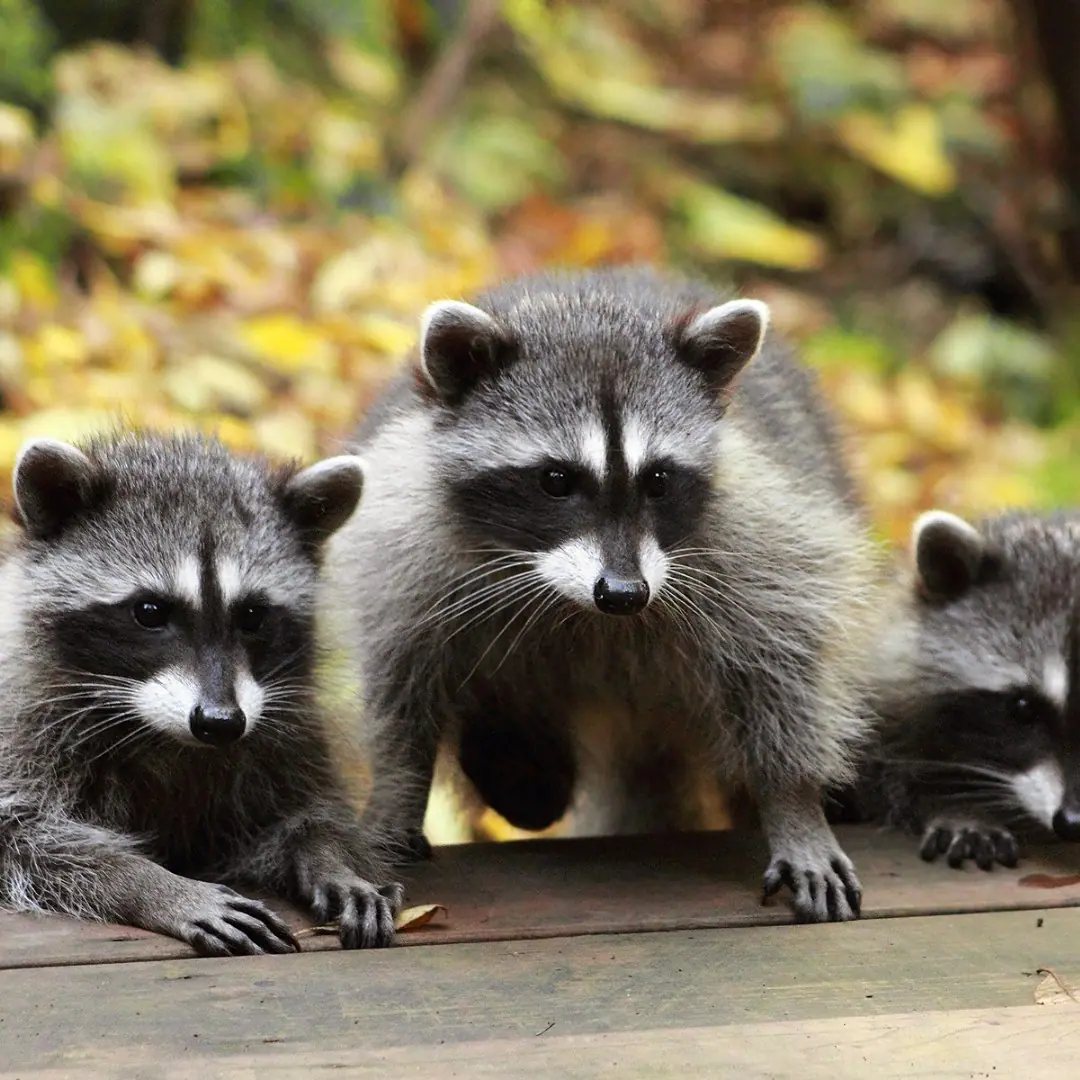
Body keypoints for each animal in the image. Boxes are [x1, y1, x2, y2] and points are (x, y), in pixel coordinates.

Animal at [0, 430, 403, 954]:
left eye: (252, 615)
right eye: (149, 612)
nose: (220, 722)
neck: (161, 733)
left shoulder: (284, 739)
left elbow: (301, 817)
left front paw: (331, 858)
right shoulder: (24, 728)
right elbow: (26, 838)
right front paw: (152, 885)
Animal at [326, 266, 890, 923]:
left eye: (659, 479)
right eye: (554, 480)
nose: (624, 593)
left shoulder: (758, 540)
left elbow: (782, 665)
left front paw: (794, 803)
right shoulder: (403, 544)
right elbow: (401, 682)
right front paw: (398, 789)